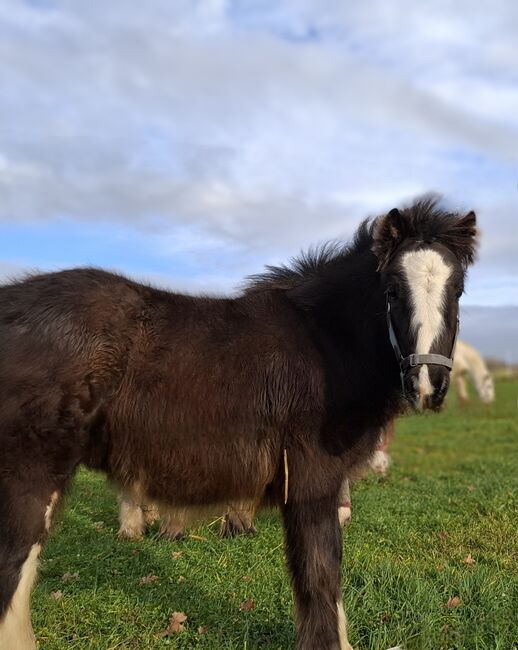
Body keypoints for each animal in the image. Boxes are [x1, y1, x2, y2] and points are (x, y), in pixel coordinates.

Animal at [0, 199, 480, 648]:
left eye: (457, 290)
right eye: (393, 291)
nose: (427, 385)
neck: (326, 343)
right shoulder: (312, 482)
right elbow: (321, 575)